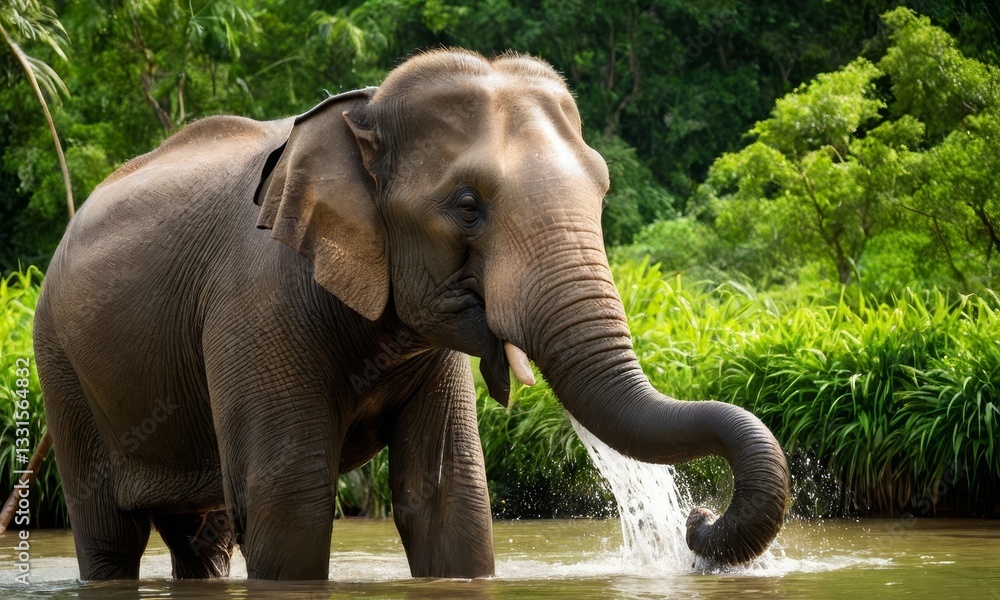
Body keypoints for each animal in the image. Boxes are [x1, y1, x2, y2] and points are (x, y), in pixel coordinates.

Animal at [33, 49, 789, 581]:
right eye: (467, 205)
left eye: (602, 189)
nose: (697, 521)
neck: (361, 110)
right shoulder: (253, 303)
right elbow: (287, 500)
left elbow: (448, 497)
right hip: (60, 364)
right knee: (110, 532)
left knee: (202, 536)